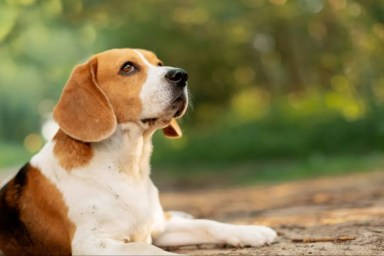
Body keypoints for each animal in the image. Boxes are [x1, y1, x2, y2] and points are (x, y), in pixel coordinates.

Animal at [0, 48, 276, 254]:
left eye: (159, 63)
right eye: (128, 68)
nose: (181, 75)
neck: (128, 168)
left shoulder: (158, 228)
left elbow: (208, 224)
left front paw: (250, 231)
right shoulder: (93, 244)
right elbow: (148, 249)